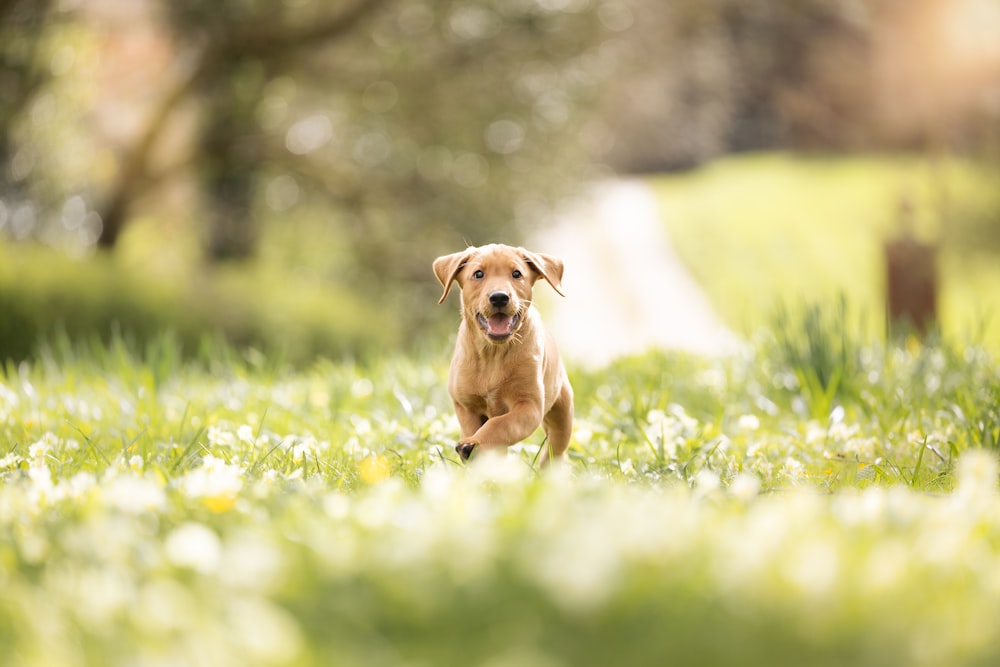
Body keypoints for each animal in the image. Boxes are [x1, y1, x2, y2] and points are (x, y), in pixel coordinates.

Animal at [434, 243, 576, 468]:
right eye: (478, 274)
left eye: (516, 274)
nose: (499, 297)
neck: (493, 354)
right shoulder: (466, 405)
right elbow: (484, 429)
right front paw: (474, 451)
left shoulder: (529, 406)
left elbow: (500, 424)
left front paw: (473, 444)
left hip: (563, 410)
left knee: (556, 448)